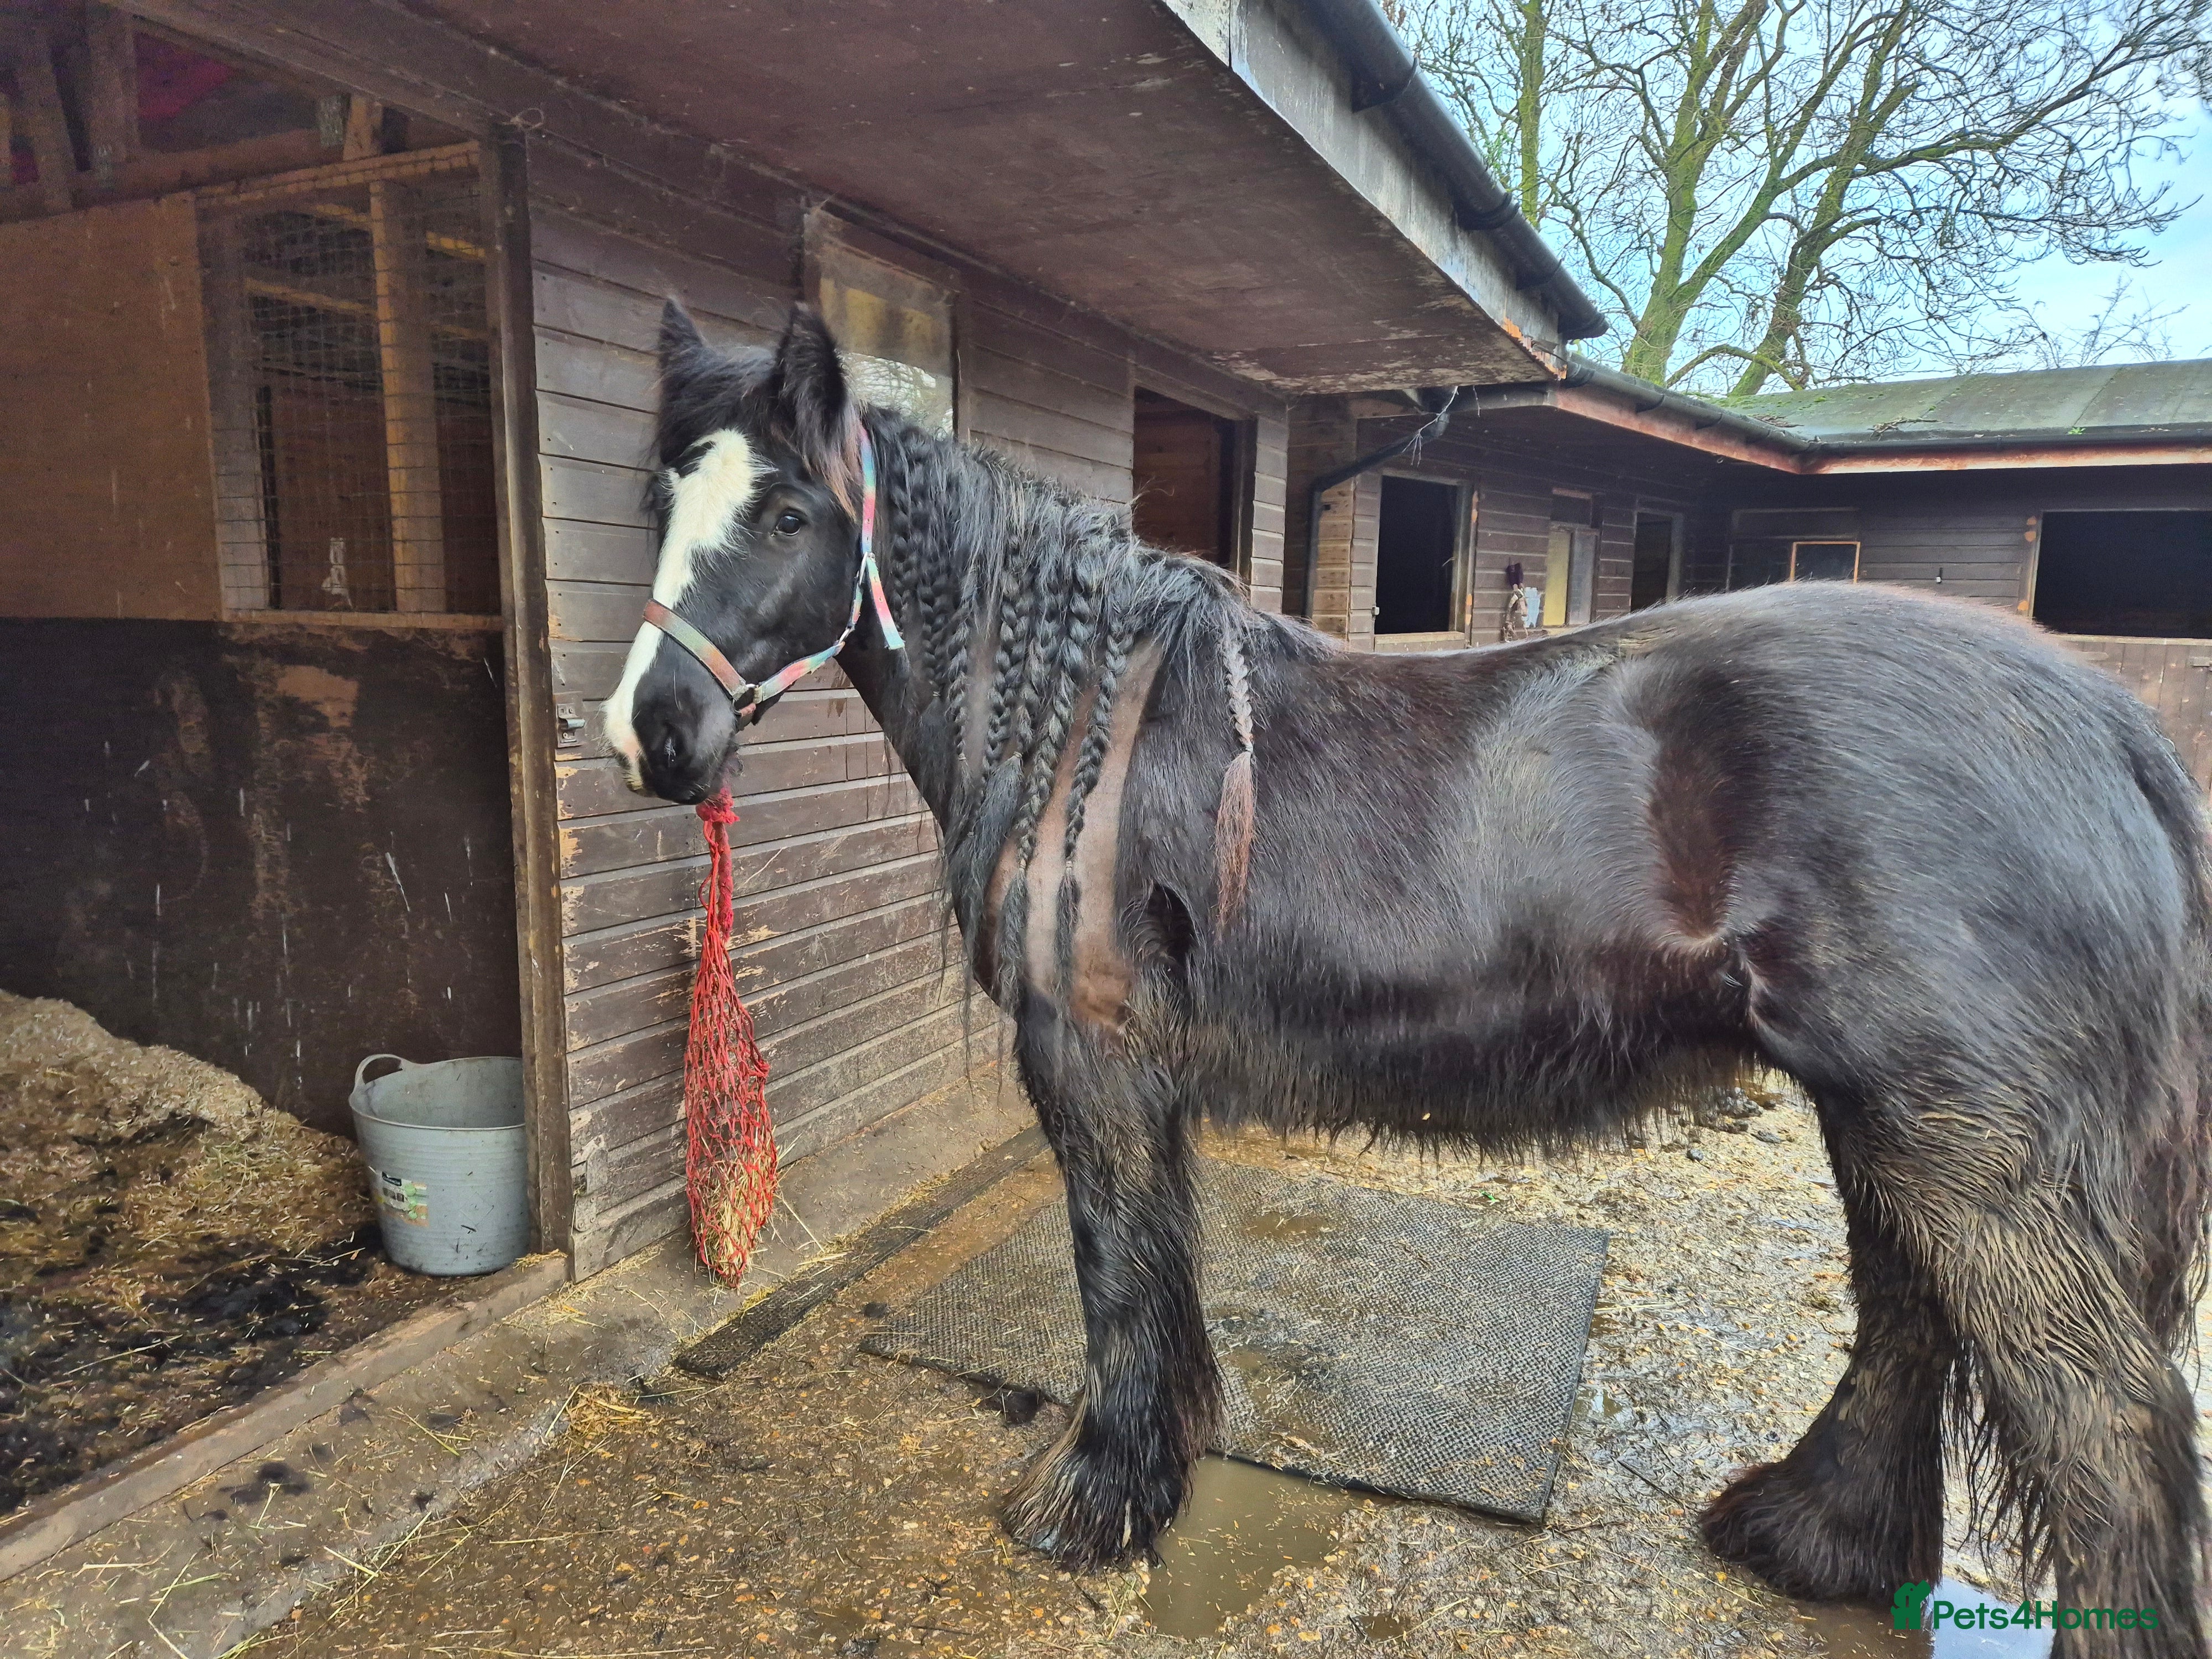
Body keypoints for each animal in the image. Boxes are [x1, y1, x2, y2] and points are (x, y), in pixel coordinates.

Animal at [605, 301, 2212, 1654]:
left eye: (788, 510)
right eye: (659, 505)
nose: (650, 735)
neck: (1088, 724)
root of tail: (2106, 720)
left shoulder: (1093, 1066)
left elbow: (1115, 1272)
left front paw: (1093, 1500)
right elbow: (1160, 1268)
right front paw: (1161, 1460)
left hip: (1968, 1145)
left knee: (2102, 1426)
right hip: (1891, 1119)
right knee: (1907, 1316)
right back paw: (1811, 1535)